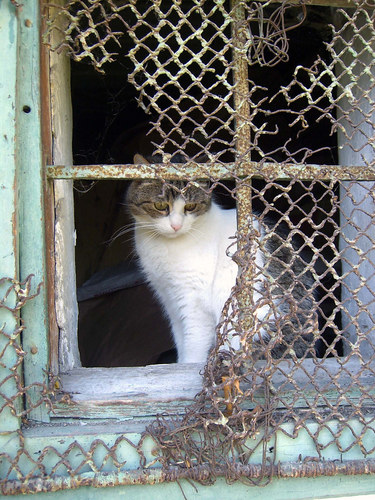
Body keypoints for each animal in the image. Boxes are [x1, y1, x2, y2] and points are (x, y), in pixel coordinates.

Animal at [127, 154, 318, 362]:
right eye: (161, 206)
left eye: (190, 206)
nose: (176, 226)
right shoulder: (170, 300)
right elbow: (180, 341)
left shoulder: (195, 303)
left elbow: (193, 347)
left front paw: (188, 366)